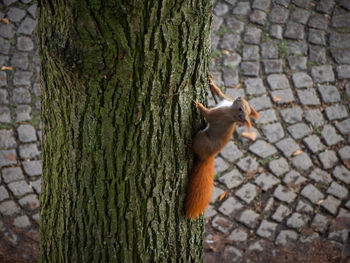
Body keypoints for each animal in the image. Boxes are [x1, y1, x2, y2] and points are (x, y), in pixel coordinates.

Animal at [185, 77, 258, 221]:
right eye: (244, 104)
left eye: (240, 109)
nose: (239, 96)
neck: (229, 107)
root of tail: (207, 156)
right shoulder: (224, 100)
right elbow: (219, 94)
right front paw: (211, 82)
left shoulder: (220, 115)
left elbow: (208, 115)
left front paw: (198, 105)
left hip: (201, 138)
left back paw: (190, 145)